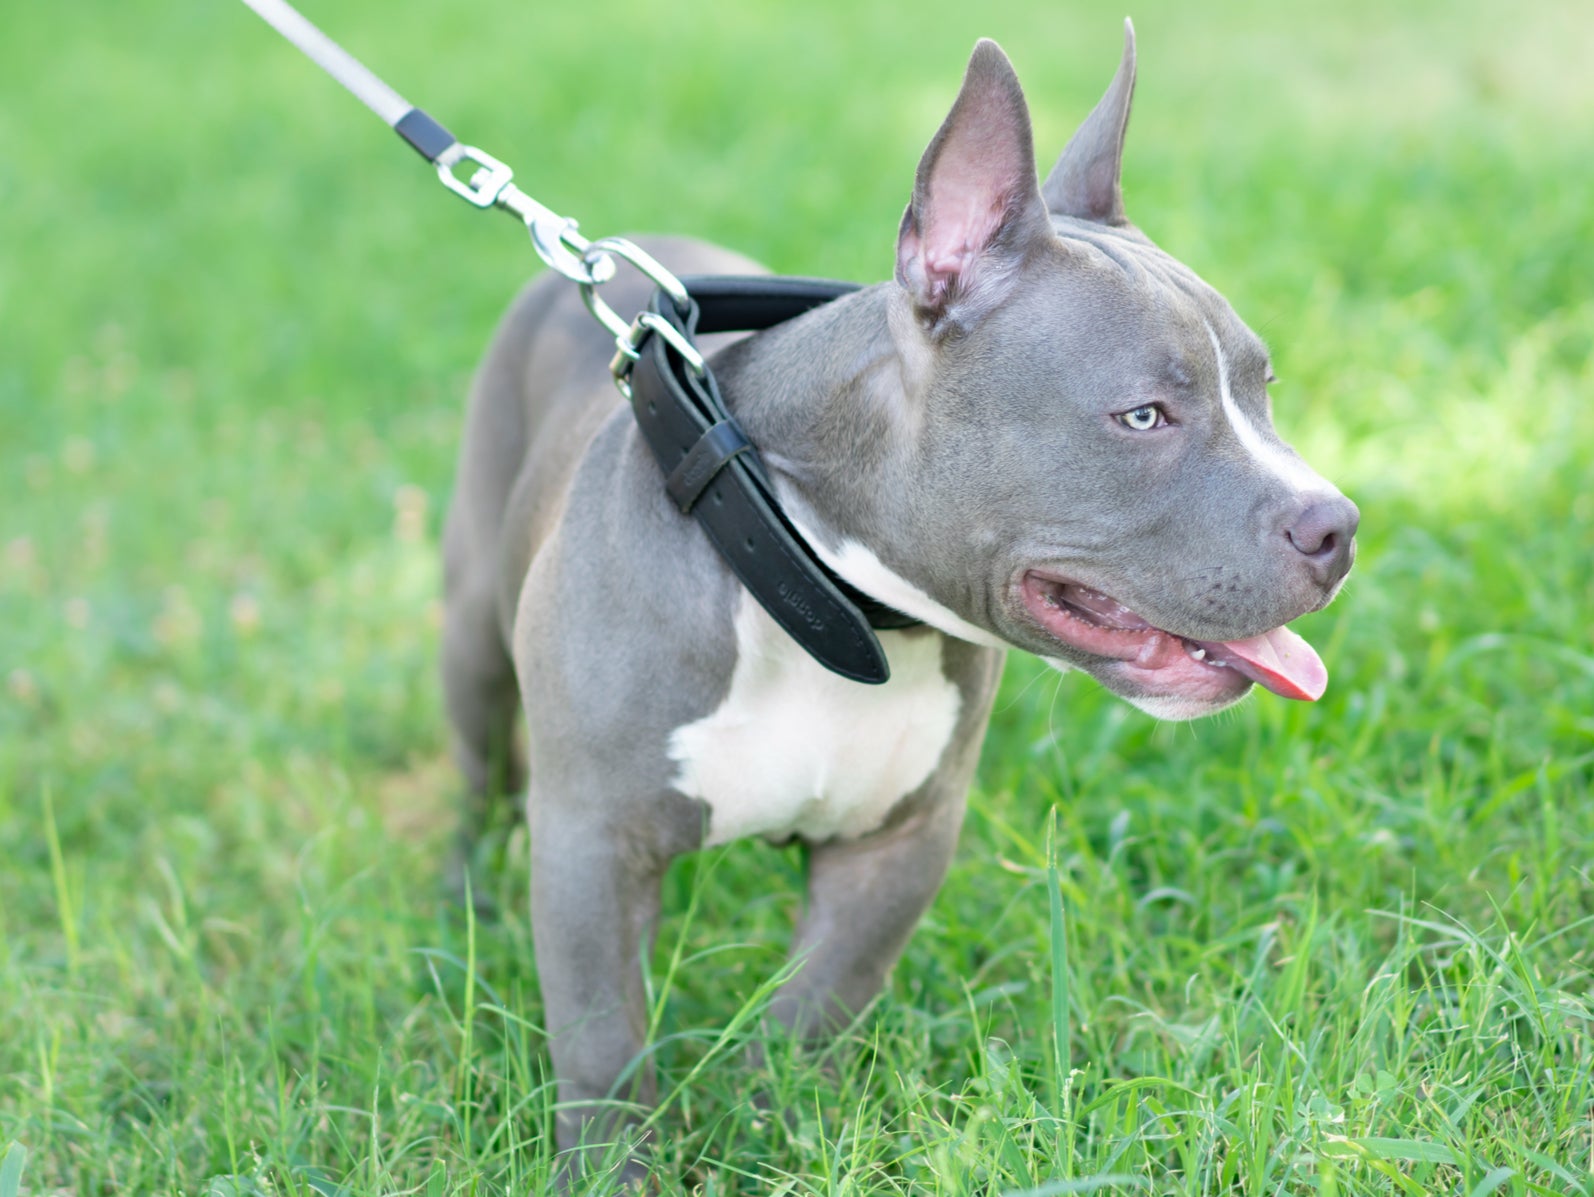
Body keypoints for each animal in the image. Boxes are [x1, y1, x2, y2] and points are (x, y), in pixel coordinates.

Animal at [439, 23, 1358, 1185]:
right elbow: (605, 1048)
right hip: (470, 628)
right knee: (480, 765)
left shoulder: (897, 845)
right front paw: (612, 1175)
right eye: (1144, 415)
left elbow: (812, 1013)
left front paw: (773, 1136)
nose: (1337, 525)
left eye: (1262, 387)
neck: (821, 597)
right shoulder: (591, 848)